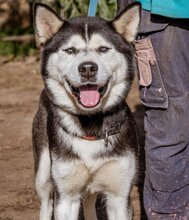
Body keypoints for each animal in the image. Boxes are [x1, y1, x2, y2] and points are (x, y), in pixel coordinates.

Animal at [32, 3, 140, 220]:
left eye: (104, 49)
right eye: (70, 50)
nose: (88, 68)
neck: (90, 125)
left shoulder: (119, 195)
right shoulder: (66, 197)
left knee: (89, 201)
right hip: (43, 173)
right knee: (46, 204)